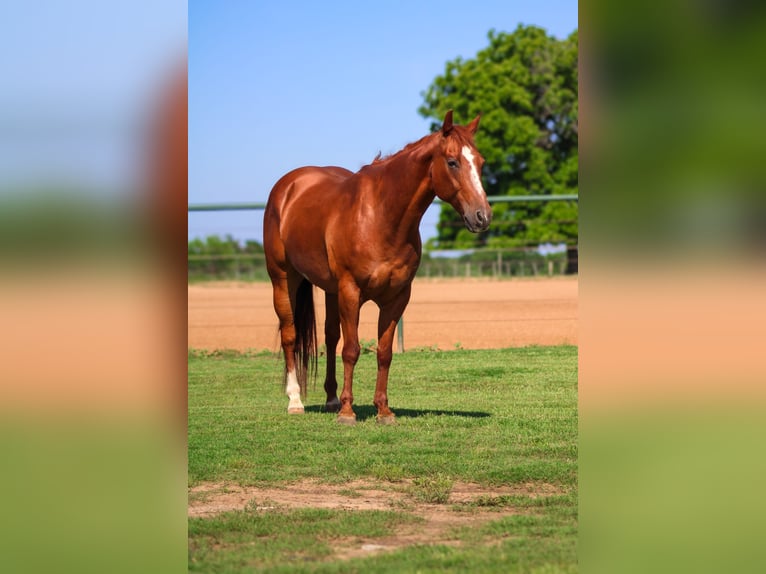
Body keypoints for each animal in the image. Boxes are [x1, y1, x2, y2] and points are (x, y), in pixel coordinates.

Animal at [264, 110, 492, 426]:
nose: (482, 216)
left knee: (330, 337)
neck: (381, 216)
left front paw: (383, 410)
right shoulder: (351, 291)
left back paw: (331, 399)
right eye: (452, 162)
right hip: (284, 279)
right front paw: (348, 412)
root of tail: (288, 187)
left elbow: (383, 352)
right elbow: (352, 350)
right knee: (290, 335)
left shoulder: (397, 297)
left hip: (331, 291)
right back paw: (296, 401)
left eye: (480, 163)